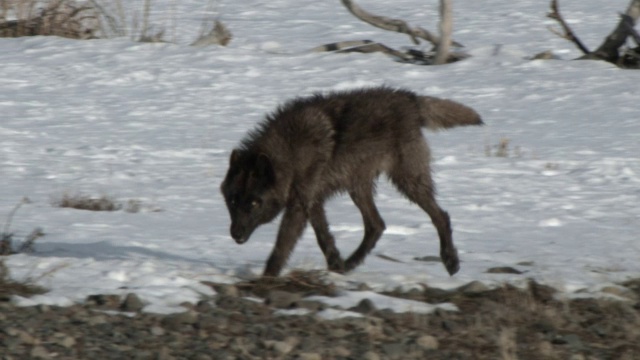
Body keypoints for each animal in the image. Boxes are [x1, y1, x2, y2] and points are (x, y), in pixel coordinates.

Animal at [219, 86, 480, 278]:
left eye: (254, 203)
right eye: (233, 201)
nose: (235, 234)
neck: (289, 152)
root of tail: (410, 98)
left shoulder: (299, 205)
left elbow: (281, 246)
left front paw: (267, 278)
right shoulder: (312, 201)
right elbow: (324, 237)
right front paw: (335, 265)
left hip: (407, 183)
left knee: (440, 216)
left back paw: (450, 260)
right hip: (359, 187)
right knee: (377, 225)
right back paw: (350, 263)